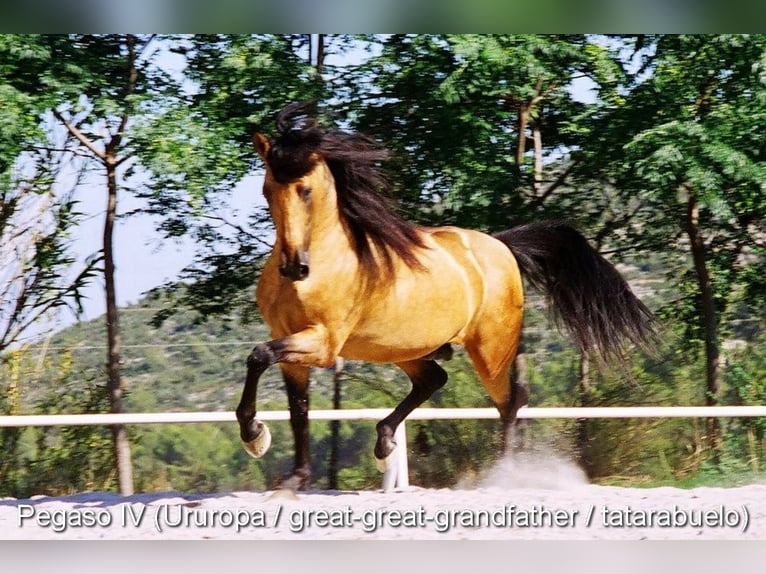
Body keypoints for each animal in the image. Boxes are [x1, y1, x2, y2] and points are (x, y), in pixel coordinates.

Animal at [236, 102, 656, 490]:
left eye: (305, 191)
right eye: (267, 190)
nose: (295, 267)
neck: (326, 261)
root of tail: (502, 246)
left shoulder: (323, 343)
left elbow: (259, 355)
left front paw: (255, 437)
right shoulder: (292, 342)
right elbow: (297, 408)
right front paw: (291, 473)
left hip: (490, 350)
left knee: (509, 401)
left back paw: (504, 475)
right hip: (401, 347)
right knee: (434, 380)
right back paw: (384, 445)